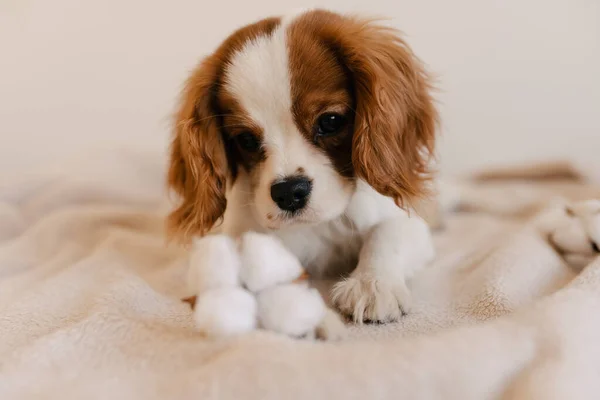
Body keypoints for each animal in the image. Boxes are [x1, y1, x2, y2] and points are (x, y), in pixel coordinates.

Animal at [168, 8, 436, 322]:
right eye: (246, 140)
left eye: (330, 121)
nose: (288, 193)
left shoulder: (407, 223)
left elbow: (387, 234)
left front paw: (372, 283)